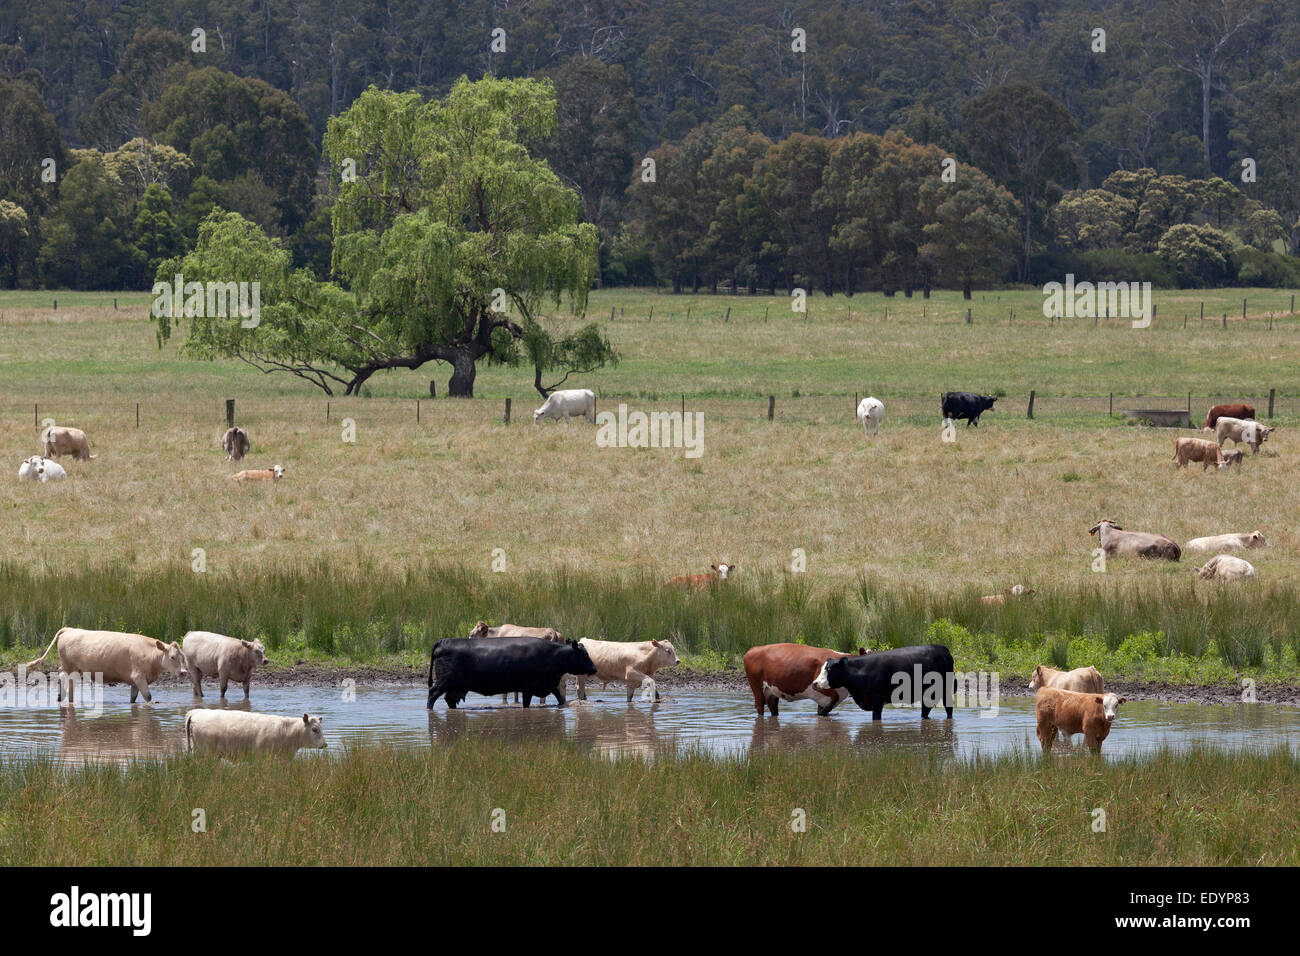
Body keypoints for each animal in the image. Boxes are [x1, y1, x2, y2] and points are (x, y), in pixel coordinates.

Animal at [25, 627, 186, 704]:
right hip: (69, 667)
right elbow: (148, 697)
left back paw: (62, 698)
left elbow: (133, 699)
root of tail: (70, 629)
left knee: (62, 677)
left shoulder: (135, 681)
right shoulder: (139, 677)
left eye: (182, 657)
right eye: (172, 657)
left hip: (72, 668)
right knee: (66, 681)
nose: (184, 672)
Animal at [426, 637, 597, 709]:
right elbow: (526, 704)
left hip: (456, 686)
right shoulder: (528, 688)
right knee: (432, 694)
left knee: (449, 699)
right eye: (585, 655)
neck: (552, 655)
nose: (594, 669)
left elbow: (560, 698)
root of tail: (443, 641)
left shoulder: (548, 684)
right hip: (444, 682)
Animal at [812, 644, 955, 720]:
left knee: (948, 708)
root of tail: (942, 648)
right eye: (822, 668)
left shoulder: (877, 698)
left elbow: (876, 717)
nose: (814, 683)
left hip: (946, 689)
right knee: (926, 709)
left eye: (829, 669)